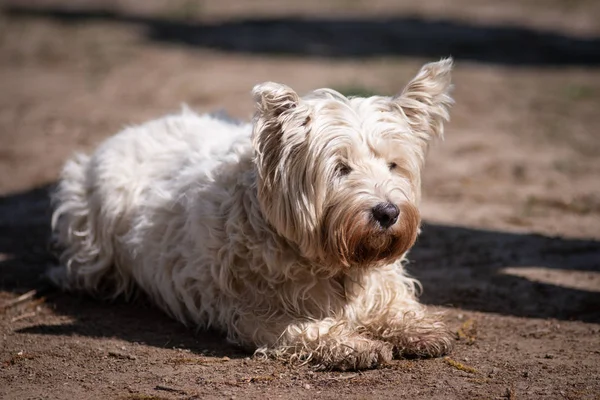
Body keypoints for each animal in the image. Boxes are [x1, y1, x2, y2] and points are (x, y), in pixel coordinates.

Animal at [51, 57, 454, 370]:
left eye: (393, 165)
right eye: (341, 168)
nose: (388, 212)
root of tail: (133, 129)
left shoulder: (379, 284)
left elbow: (395, 305)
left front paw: (419, 329)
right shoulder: (255, 309)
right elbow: (304, 328)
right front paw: (354, 344)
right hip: (92, 237)